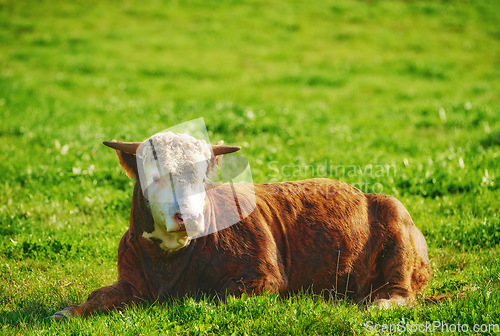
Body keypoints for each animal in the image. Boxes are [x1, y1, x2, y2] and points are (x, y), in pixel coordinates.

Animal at [52, 131, 432, 318]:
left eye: (203, 177)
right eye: (155, 177)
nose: (190, 217)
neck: (169, 264)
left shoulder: (263, 277)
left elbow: (219, 297)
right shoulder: (130, 280)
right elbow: (99, 296)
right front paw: (69, 311)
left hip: (396, 221)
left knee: (401, 289)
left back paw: (381, 302)